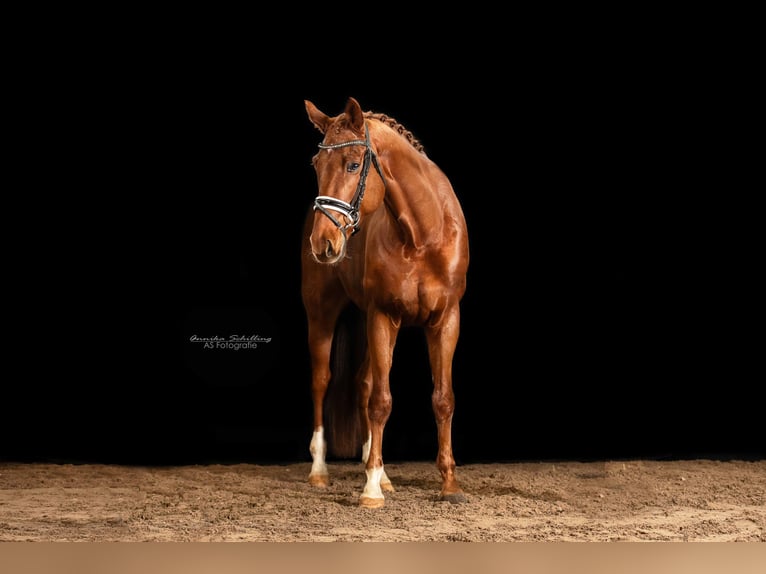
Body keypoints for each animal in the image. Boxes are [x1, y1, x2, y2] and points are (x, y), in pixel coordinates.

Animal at [304, 97, 472, 510]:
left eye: (352, 164)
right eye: (316, 165)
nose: (323, 242)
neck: (424, 234)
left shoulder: (446, 320)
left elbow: (443, 398)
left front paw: (450, 484)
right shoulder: (384, 316)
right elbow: (381, 400)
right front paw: (370, 490)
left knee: (363, 384)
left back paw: (380, 470)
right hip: (322, 314)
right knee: (322, 381)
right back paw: (321, 470)